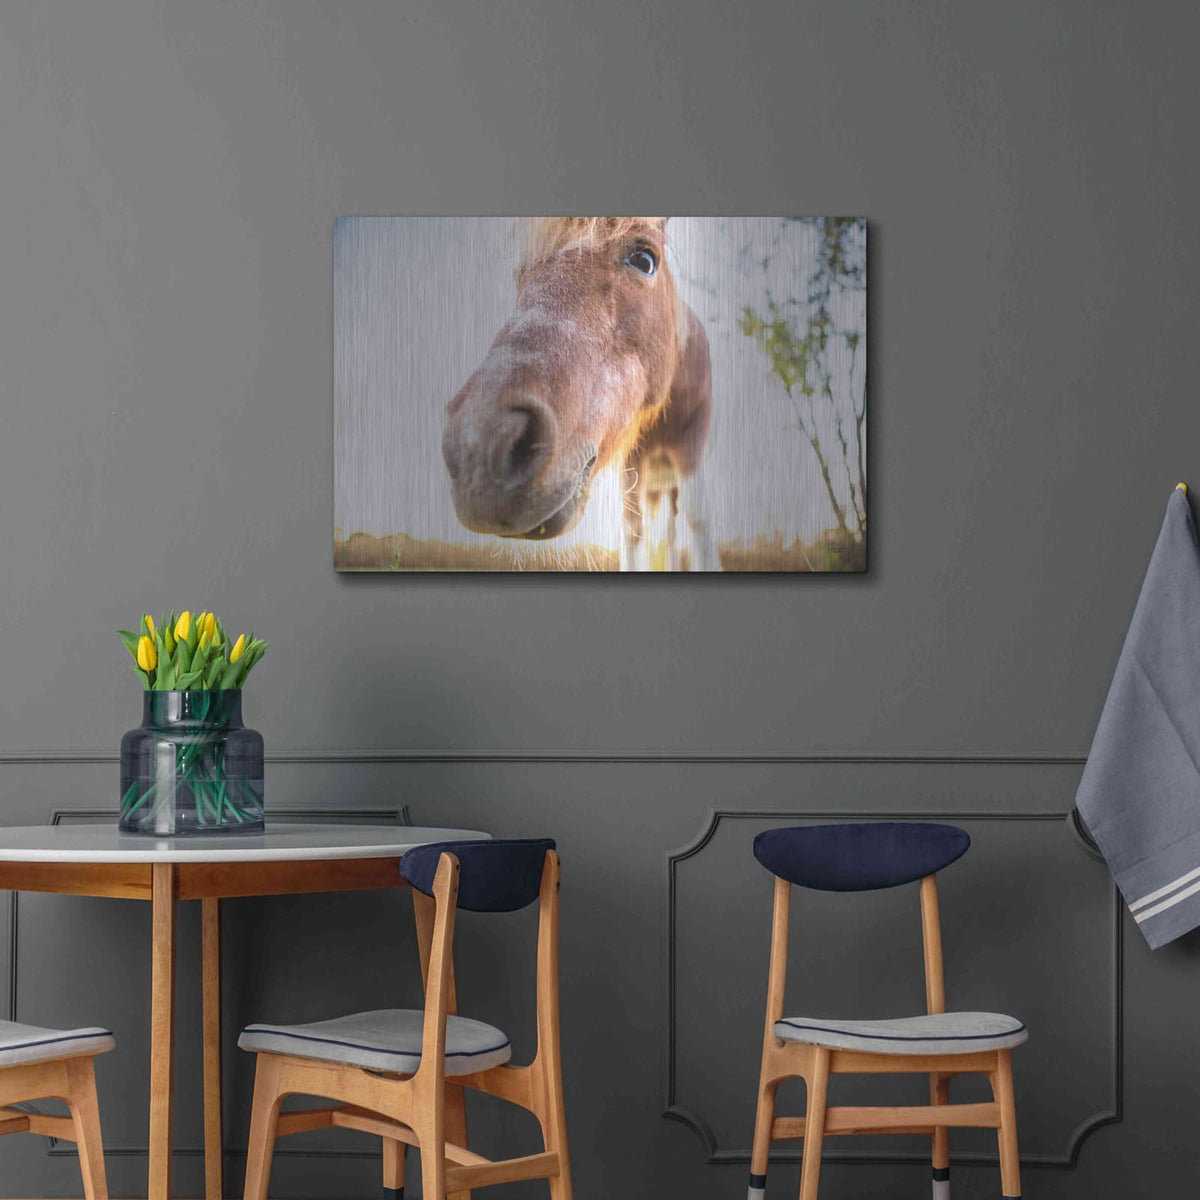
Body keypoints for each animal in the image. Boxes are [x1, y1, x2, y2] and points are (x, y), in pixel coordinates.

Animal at [441, 217, 719, 570]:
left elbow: (698, 523)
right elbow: (632, 529)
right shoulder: (631, 464)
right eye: (521, 273)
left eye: (644, 260)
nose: (478, 445)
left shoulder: (691, 445)